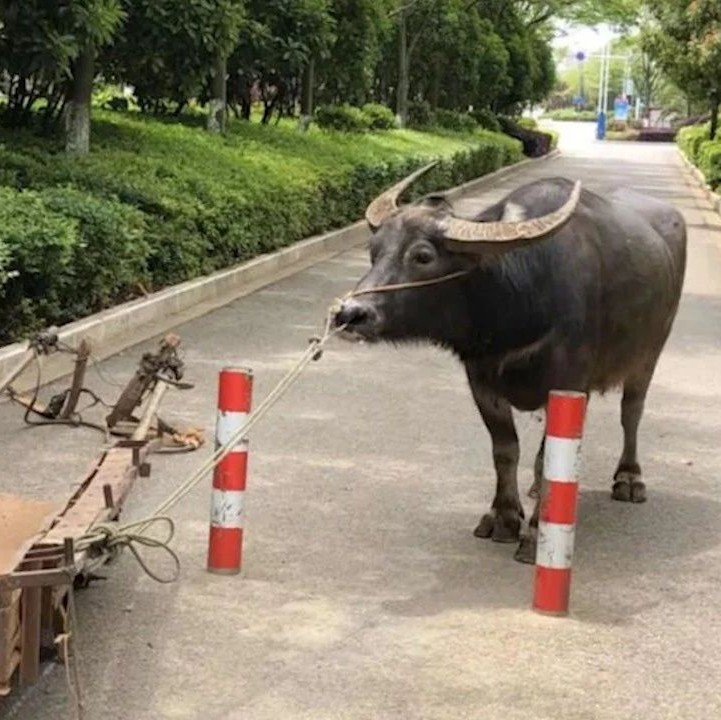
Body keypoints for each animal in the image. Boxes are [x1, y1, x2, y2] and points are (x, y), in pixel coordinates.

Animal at [334, 163, 684, 564]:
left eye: (422, 256)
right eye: (373, 251)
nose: (350, 313)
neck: (517, 304)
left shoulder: (569, 380)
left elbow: (548, 459)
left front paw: (534, 535)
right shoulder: (481, 381)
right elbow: (506, 450)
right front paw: (502, 517)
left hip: (649, 354)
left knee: (632, 413)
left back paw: (629, 478)